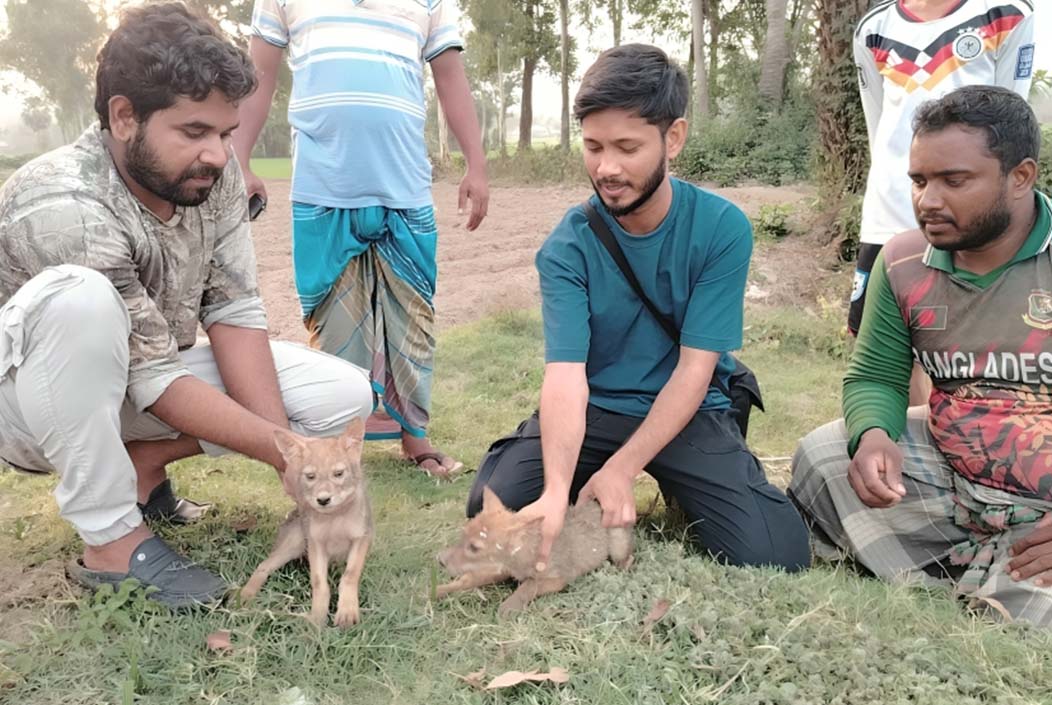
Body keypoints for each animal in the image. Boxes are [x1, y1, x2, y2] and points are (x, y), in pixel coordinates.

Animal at [240, 418, 372, 628]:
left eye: (339, 474)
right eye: (310, 477)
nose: (323, 500)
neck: (334, 520)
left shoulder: (361, 539)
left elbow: (349, 576)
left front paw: (347, 611)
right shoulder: (316, 544)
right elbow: (319, 583)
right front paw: (317, 618)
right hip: (293, 545)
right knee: (263, 566)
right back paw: (245, 596)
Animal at [436, 487, 634, 616]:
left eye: (474, 548)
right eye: (463, 534)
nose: (440, 560)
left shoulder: (557, 579)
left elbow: (528, 586)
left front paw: (508, 607)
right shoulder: (502, 569)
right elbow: (470, 579)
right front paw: (440, 589)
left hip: (617, 547)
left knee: (628, 559)